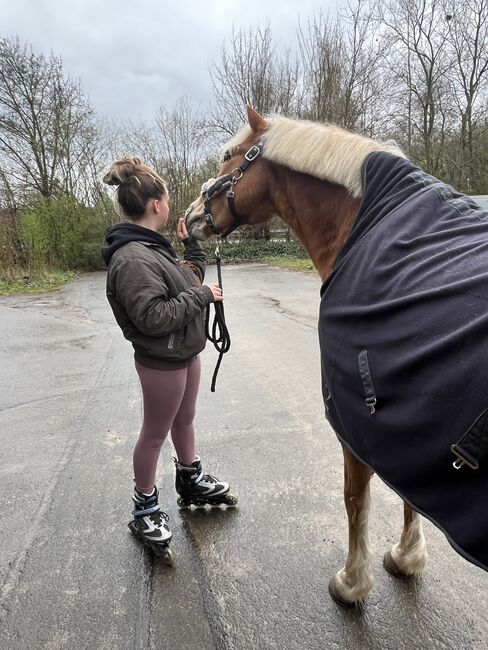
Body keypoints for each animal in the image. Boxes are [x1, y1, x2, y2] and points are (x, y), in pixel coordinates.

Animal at [184, 106, 488, 607]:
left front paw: (352, 582)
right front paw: (407, 556)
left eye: (229, 155)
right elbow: (406, 492)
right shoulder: (408, 427)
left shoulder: (356, 420)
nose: (188, 217)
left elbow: (354, 499)